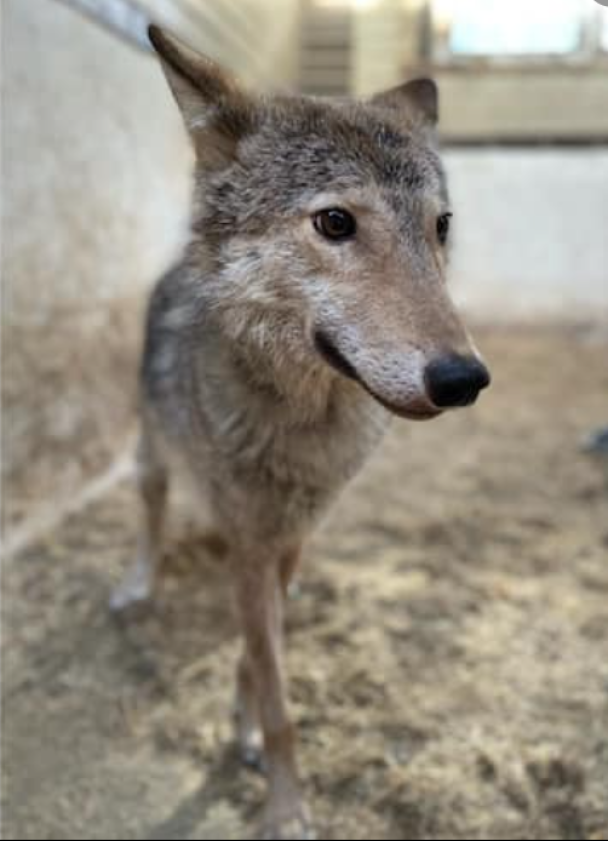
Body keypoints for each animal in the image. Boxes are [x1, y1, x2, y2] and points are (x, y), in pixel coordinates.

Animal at [111, 25, 491, 841]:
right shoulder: (252, 541)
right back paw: (136, 585)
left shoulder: (289, 539)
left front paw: (246, 727)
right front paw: (285, 808)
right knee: (151, 517)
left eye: (440, 227)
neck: (300, 426)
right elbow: (278, 688)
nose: (463, 379)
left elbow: (261, 660)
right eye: (335, 223)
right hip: (150, 455)